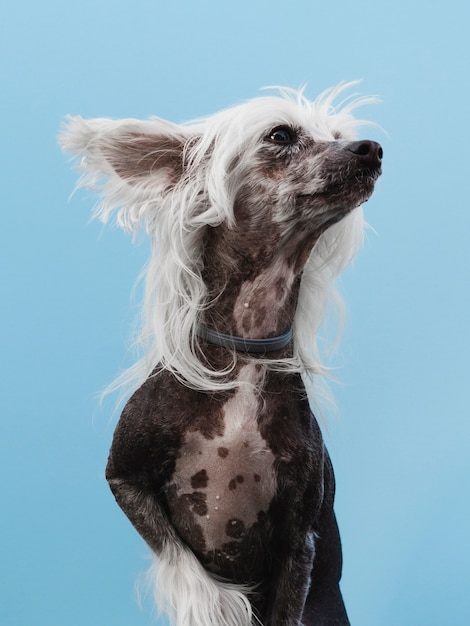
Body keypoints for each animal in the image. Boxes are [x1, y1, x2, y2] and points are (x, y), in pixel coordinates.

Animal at [59, 84, 382, 624]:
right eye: (281, 135)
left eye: (336, 134)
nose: (371, 149)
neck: (247, 349)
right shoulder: (124, 476)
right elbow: (182, 562)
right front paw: (216, 603)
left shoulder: (300, 544)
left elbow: (286, 602)